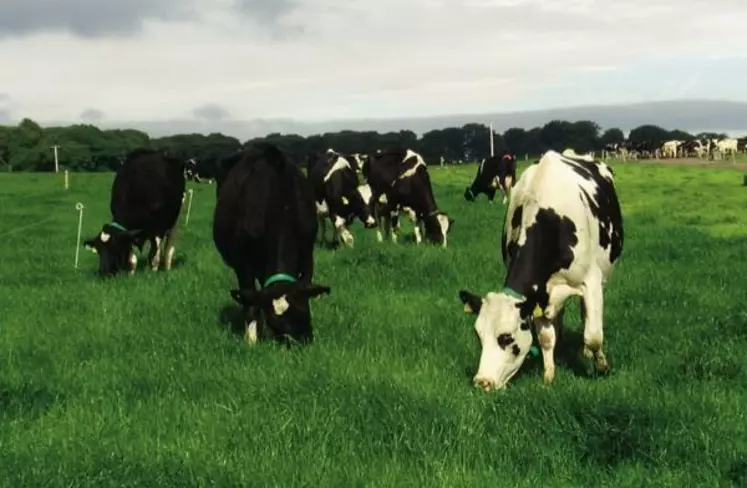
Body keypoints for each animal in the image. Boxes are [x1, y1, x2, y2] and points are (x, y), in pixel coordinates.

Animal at [216, 143, 334, 346]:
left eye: (303, 312)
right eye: (276, 322)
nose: (301, 342)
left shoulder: (307, 253)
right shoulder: (242, 263)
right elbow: (250, 300)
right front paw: (252, 339)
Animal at [458, 151, 624, 390]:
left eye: (506, 338)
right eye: (479, 336)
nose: (482, 382)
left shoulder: (590, 280)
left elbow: (593, 337)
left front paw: (602, 368)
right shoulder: (540, 292)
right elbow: (546, 338)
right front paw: (548, 377)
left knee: (586, 316)